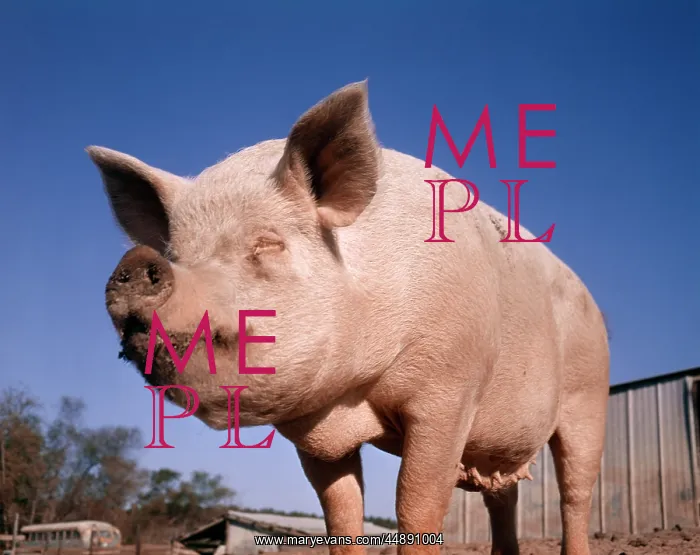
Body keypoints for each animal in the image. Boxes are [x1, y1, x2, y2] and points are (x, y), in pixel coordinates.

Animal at [88, 80, 609, 555]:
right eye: (178, 254)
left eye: (267, 244)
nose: (135, 260)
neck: (352, 396)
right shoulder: (316, 435)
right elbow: (339, 514)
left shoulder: (450, 391)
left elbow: (416, 505)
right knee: (503, 497)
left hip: (587, 398)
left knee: (575, 493)